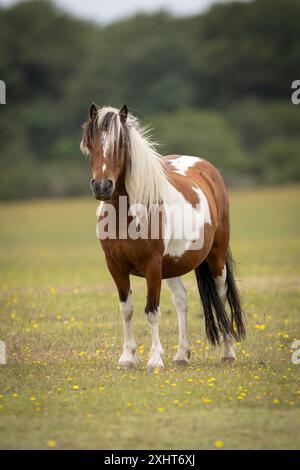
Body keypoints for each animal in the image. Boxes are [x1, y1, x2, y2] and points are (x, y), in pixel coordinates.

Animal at [81, 104, 245, 372]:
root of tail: (207, 168)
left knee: (220, 297)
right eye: (90, 143)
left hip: (215, 257)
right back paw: (181, 355)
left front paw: (155, 359)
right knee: (182, 301)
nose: (102, 187)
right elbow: (126, 309)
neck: (127, 214)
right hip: (172, 265)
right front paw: (127, 357)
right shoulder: (115, 266)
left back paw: (228, 352)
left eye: (121, 145)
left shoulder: (152, 265)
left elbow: (152, 311)